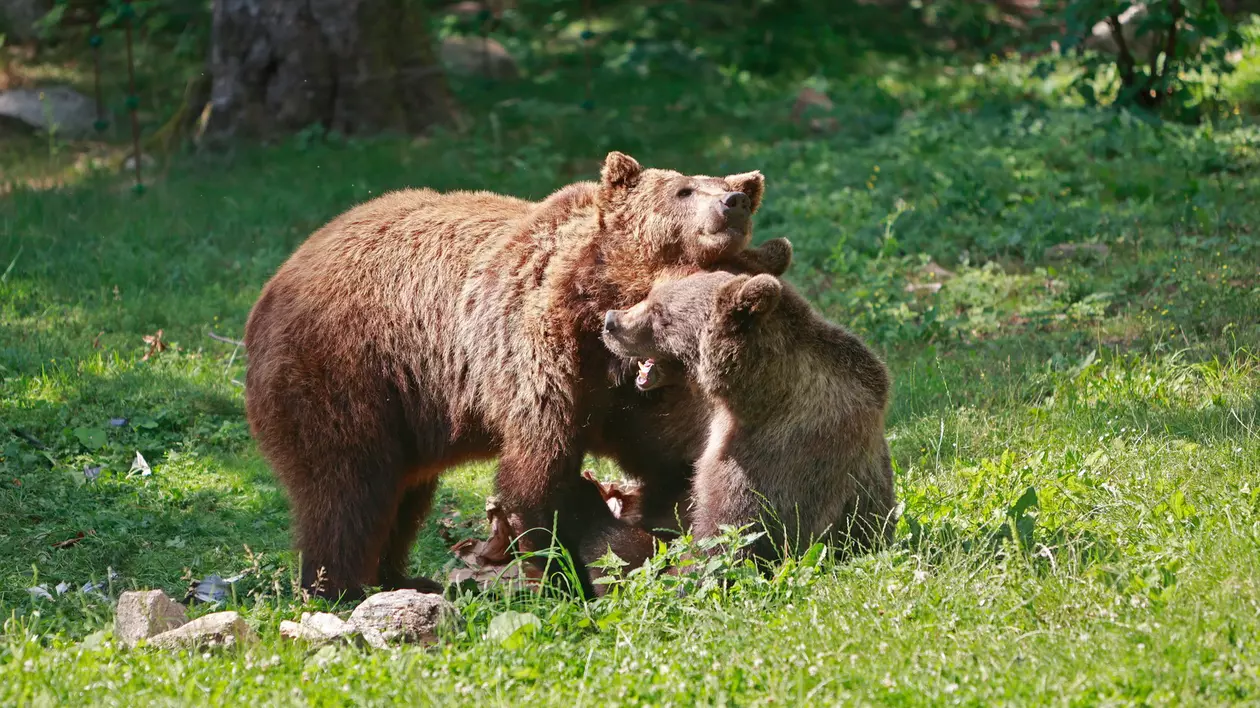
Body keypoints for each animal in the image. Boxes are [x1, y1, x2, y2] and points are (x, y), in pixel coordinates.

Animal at [240, 148, 781, 594]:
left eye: (727, 186)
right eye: (683, 190)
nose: (733, 201)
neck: (604, 299)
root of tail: (276, 280)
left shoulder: (637, 387)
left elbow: (669, 453)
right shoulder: (538, 348)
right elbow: (536, 468)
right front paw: (560, 570)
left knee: (404, 495)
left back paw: (400, 575)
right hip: (347, 370)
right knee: (347, 486)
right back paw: (337, 586)